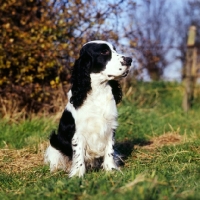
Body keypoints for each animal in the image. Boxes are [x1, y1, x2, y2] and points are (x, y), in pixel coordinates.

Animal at [44, 40, 132, 177]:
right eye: (104, 52)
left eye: (115, 50)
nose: (129, 60)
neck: (98, 90)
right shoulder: (78, 133)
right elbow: (78, 154)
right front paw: (77, 174)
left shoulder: (110, 126)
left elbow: (110, 150)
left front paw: (111, 169)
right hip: (54, 143)